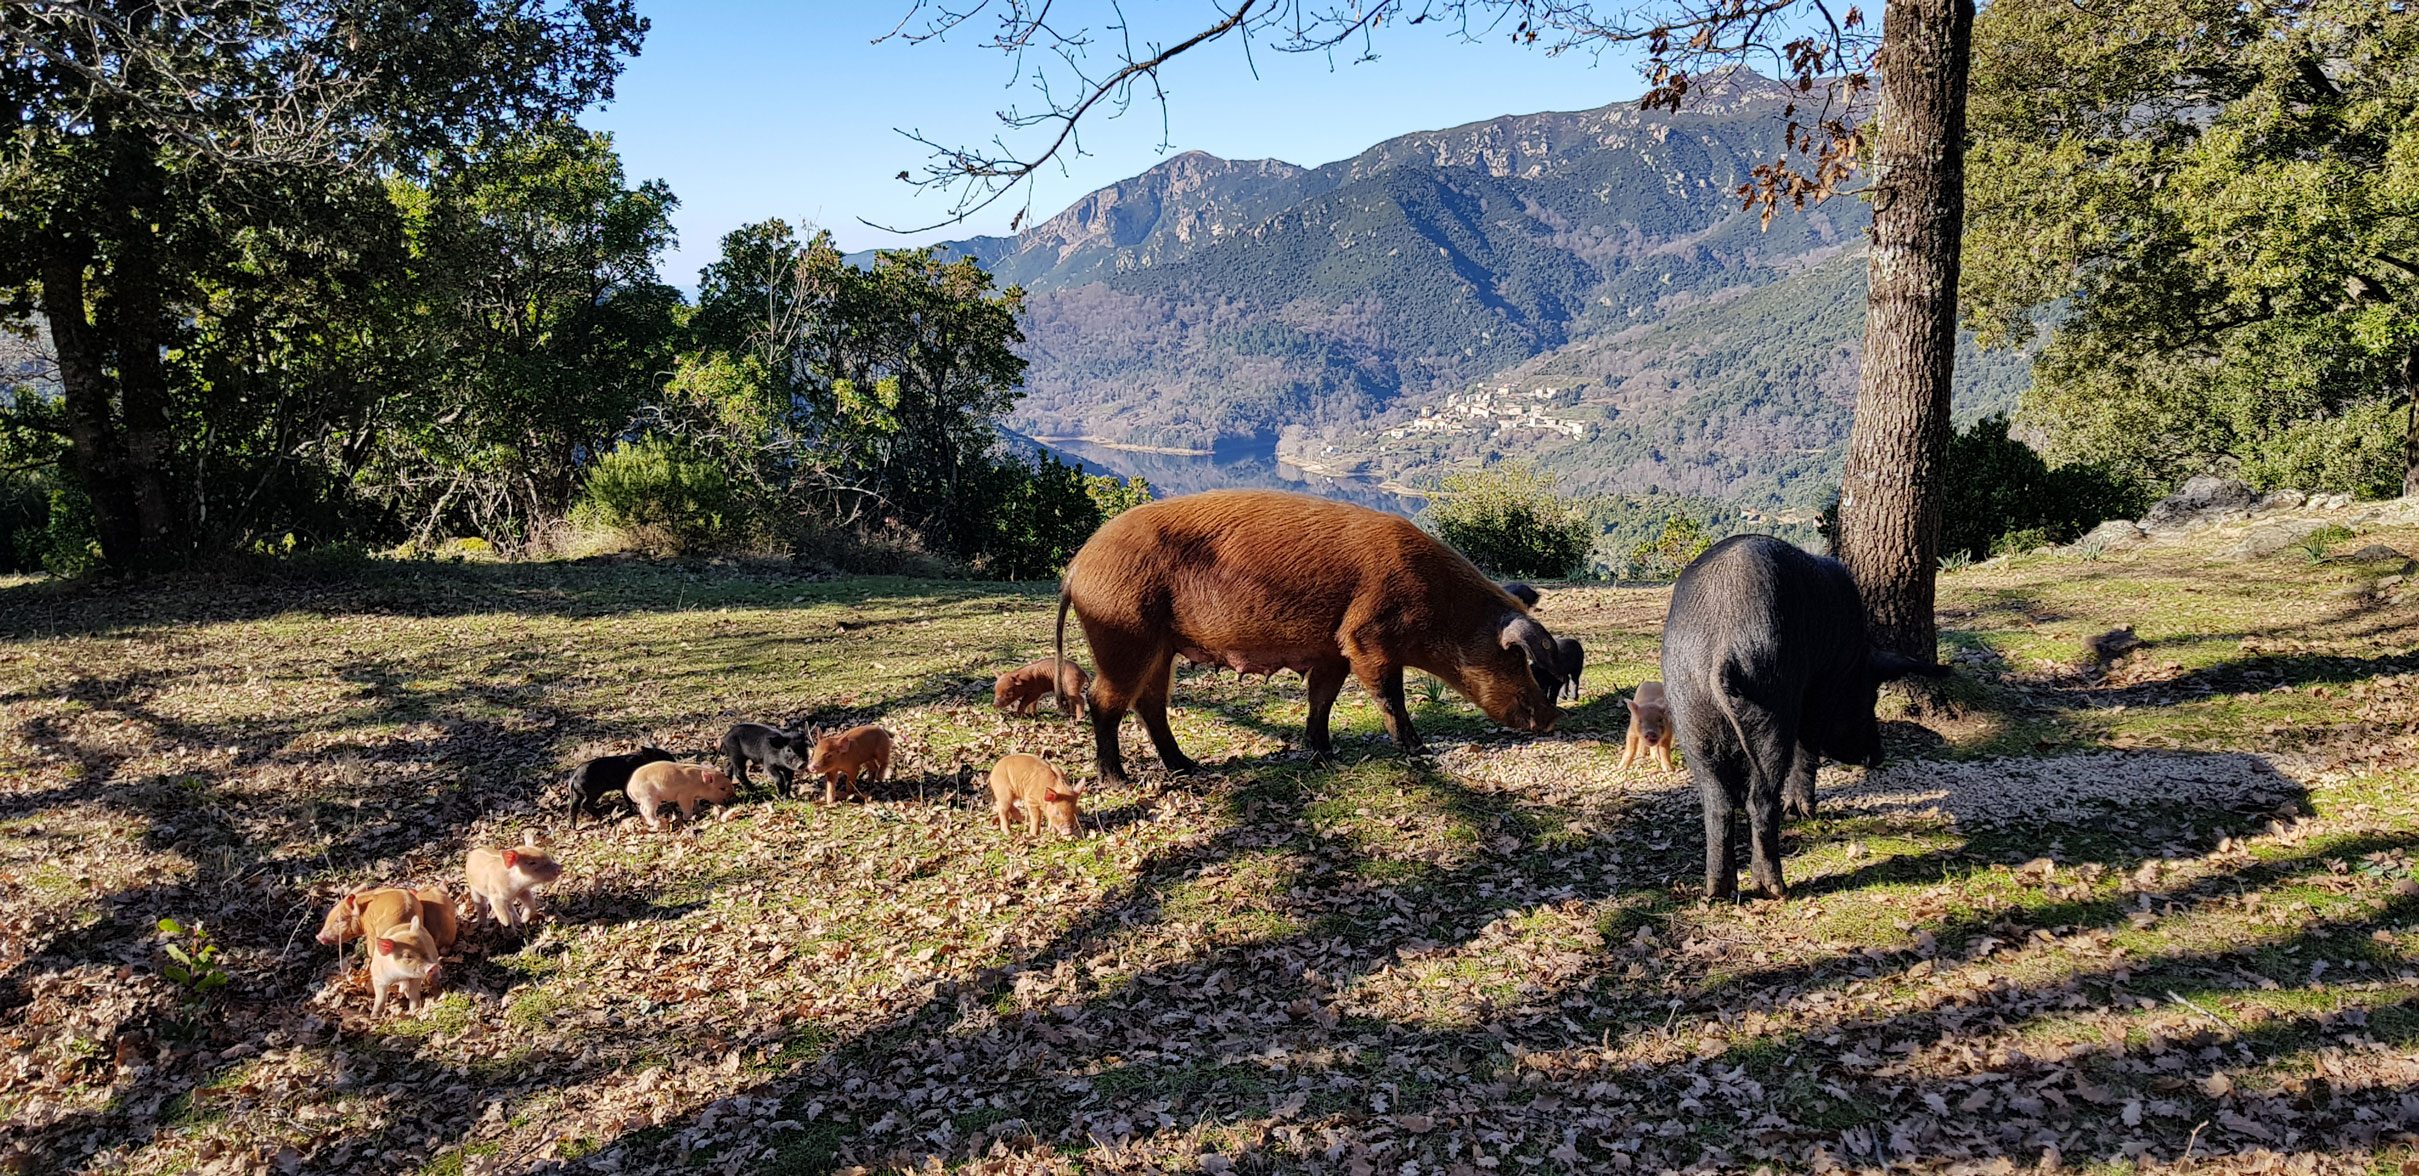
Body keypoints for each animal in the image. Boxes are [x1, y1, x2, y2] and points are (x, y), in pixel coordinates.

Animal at [1654, 534, 1954, 900]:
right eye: (1870, 696)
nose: (1878, 756)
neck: (1853, 660)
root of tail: (1723, 647)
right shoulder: (1820, 689)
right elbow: (1808, 747)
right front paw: (1804, 812)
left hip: (1690, 712)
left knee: (1717, 803)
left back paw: (1718, 892)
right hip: (1771, 698)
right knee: (1762, 801)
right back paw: (1774, 888)